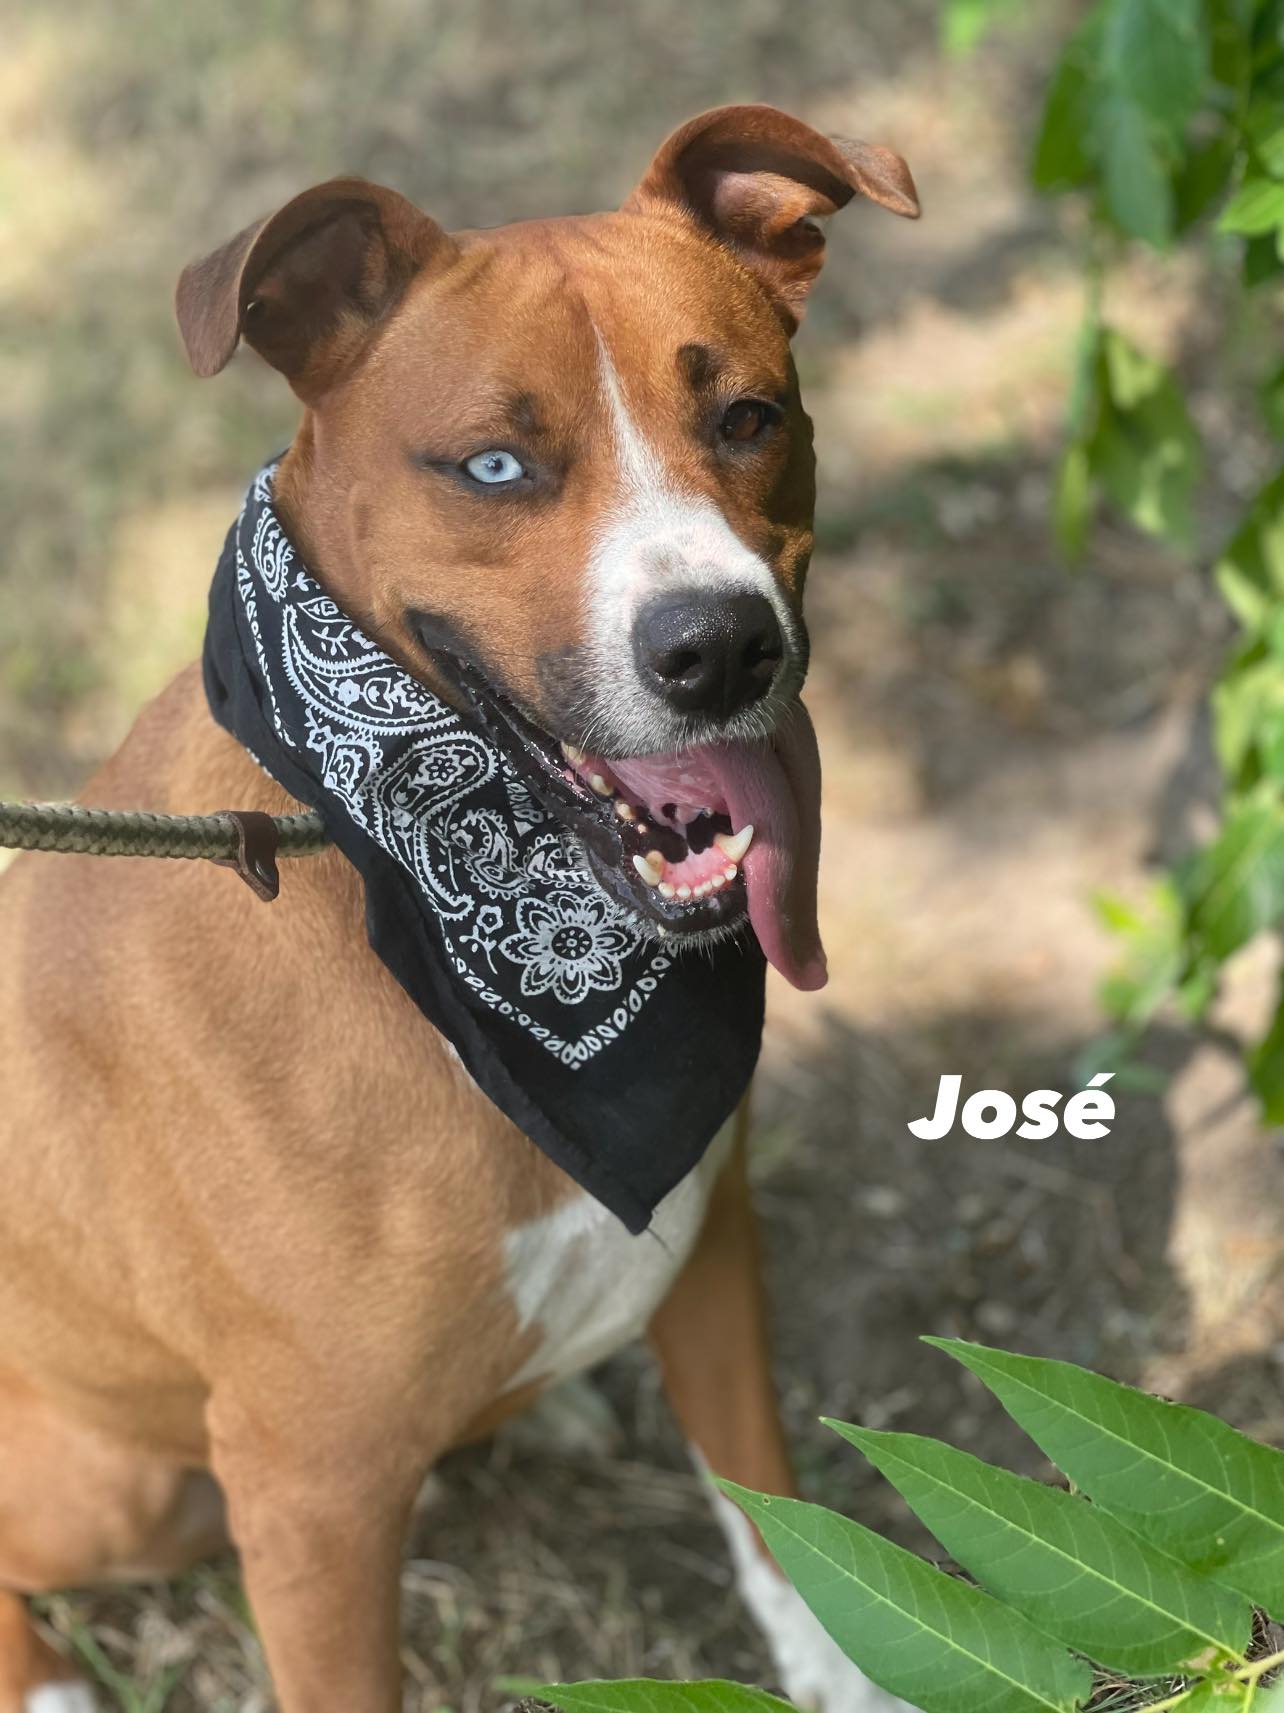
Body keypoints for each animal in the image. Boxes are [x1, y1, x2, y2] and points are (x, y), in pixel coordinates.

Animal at [0, 105, 918, 1713]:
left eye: (749, 418)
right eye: (493, 465)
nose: (721, 646)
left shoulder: (713, 1247)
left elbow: (772, 1504)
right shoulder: (310, 1497)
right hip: (114, 1486)